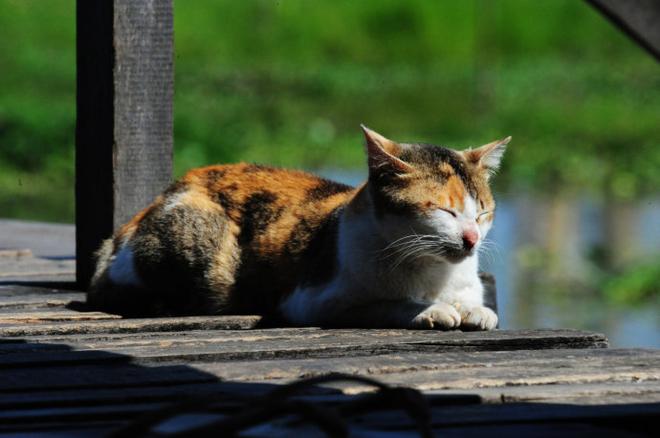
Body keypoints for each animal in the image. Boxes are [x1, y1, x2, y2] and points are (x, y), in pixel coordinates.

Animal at [89, 126, 510, 328]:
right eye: (447, 212)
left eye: (483, 213)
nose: (472, 238)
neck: (432, 273)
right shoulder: (313, 300)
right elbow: (385, 304)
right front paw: (431, 310)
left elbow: (477, 305)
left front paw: (475, 311)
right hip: (203, 241)